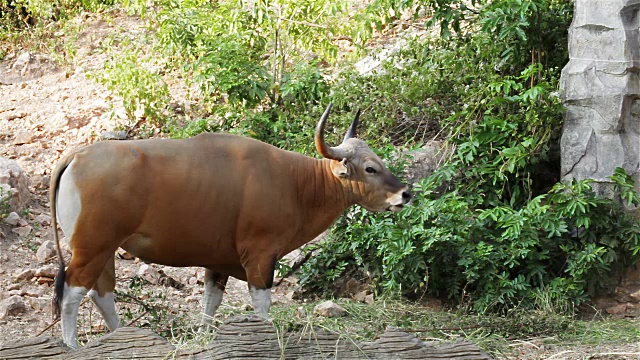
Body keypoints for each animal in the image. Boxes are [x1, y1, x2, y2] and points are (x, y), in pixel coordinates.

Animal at [50, 103, 410, 346]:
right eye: (370, 168)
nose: (405, 193)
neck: (296, 183)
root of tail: (76, 157)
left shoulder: (218, 263)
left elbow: (209, 304)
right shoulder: (261, 256)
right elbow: (262, 306)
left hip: (105, 248)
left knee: (101, 293)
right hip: (92, 246)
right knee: (71, 292)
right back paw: (72, 345)